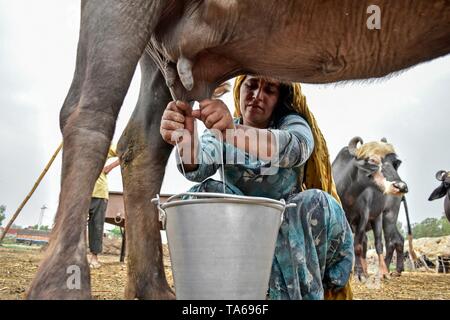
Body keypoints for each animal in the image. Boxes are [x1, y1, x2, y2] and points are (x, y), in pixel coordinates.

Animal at [330, 138, 408, 280]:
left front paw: (359, 273)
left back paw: (386, 271)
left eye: (394, 163)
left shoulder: (363, 218)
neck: (348, 194)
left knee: (386, 242)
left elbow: (357, 246)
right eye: (372, 160)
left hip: (387, 217)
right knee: (395, 240)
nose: (401, 186)